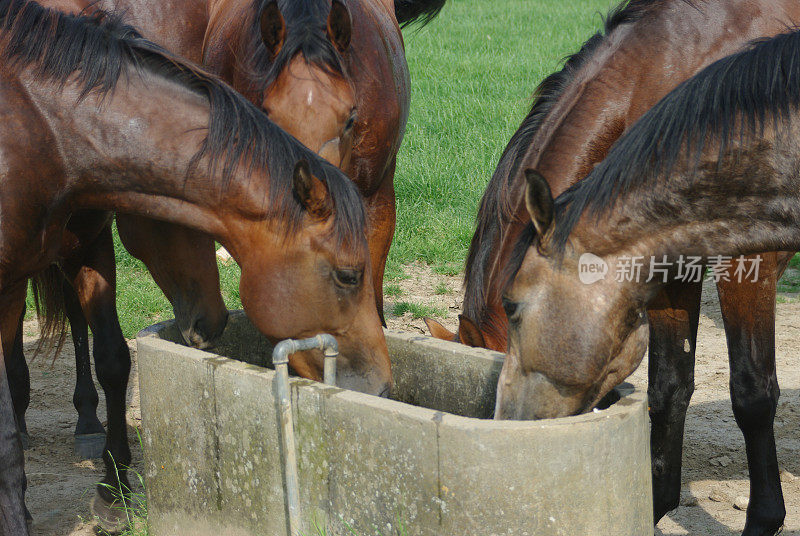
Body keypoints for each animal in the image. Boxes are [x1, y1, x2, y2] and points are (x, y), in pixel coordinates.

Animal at [0, 1, 390, 532]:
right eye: (348, 275)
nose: (383, 387)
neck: (44, 128)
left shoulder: (83, 246)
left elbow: (112, 359)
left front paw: (113, 490)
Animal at [424, 1, 800, 532]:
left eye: (514, 308)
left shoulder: (749, 262)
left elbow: (752, 394)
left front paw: (765, 516)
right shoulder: (664, 264)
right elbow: (669, 386)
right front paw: (656, 500)